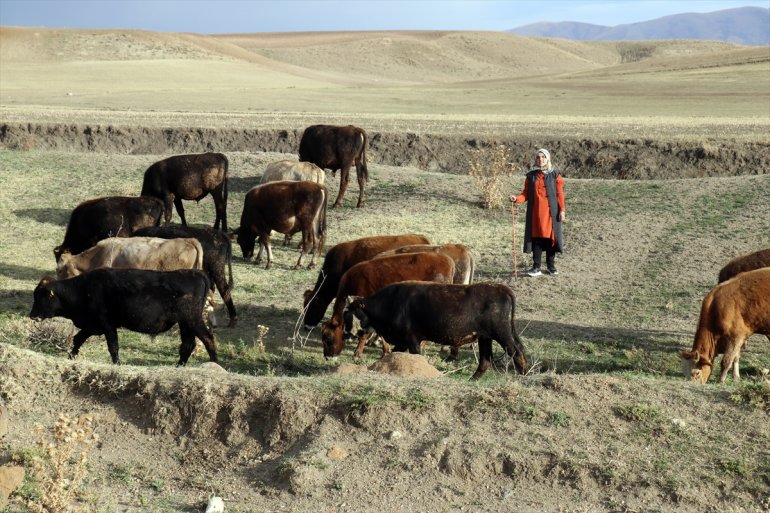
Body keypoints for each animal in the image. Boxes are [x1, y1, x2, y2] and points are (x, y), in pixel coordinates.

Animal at [29, 266, 216, 366]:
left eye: (40, 296)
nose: (32, 315)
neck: (82, 289)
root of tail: (195, 273)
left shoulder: (107, 326)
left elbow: (113, 347)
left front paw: (117, 363)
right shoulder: (92, 326)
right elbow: (78, 339)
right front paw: (71, 356)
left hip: (193, 320)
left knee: (208, 339)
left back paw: (215, 363)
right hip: (185, 324)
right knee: (188, 345)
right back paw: (179, 366)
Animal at [346, 280, 528, 380]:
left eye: (351, 312)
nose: (349, 333)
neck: (392, 302)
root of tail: (502, 288)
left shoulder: (412, 340)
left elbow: (416, 356)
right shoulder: (404, 342)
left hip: (502, 334)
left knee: (516, 351)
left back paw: (524, 375)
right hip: (485, 337)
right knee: (485, 361)